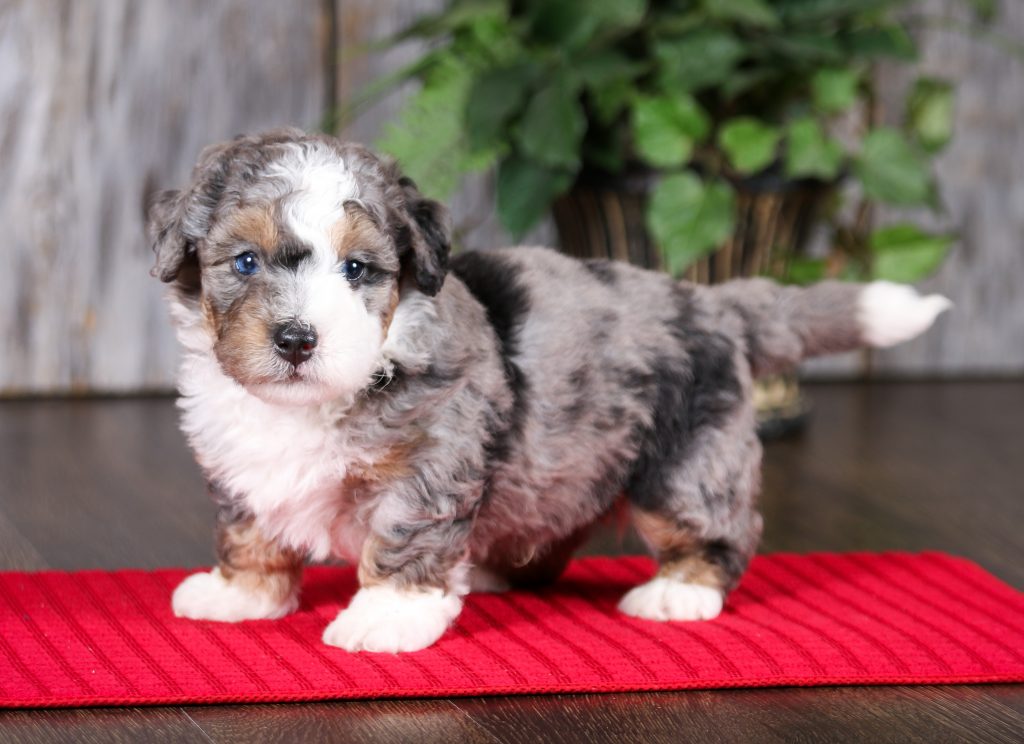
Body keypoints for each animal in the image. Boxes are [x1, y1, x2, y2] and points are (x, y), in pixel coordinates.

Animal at [146, 127, 950, 650]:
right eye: (244, 262)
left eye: (358, 271)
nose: (296, 339)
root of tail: (714, 300)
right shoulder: (243, 469)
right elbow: (248, 528)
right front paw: (240, 591)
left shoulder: (430, 464)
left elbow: (404, 535)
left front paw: (388, 616)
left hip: (685, 463)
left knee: (720, 529)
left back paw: (680, 588)